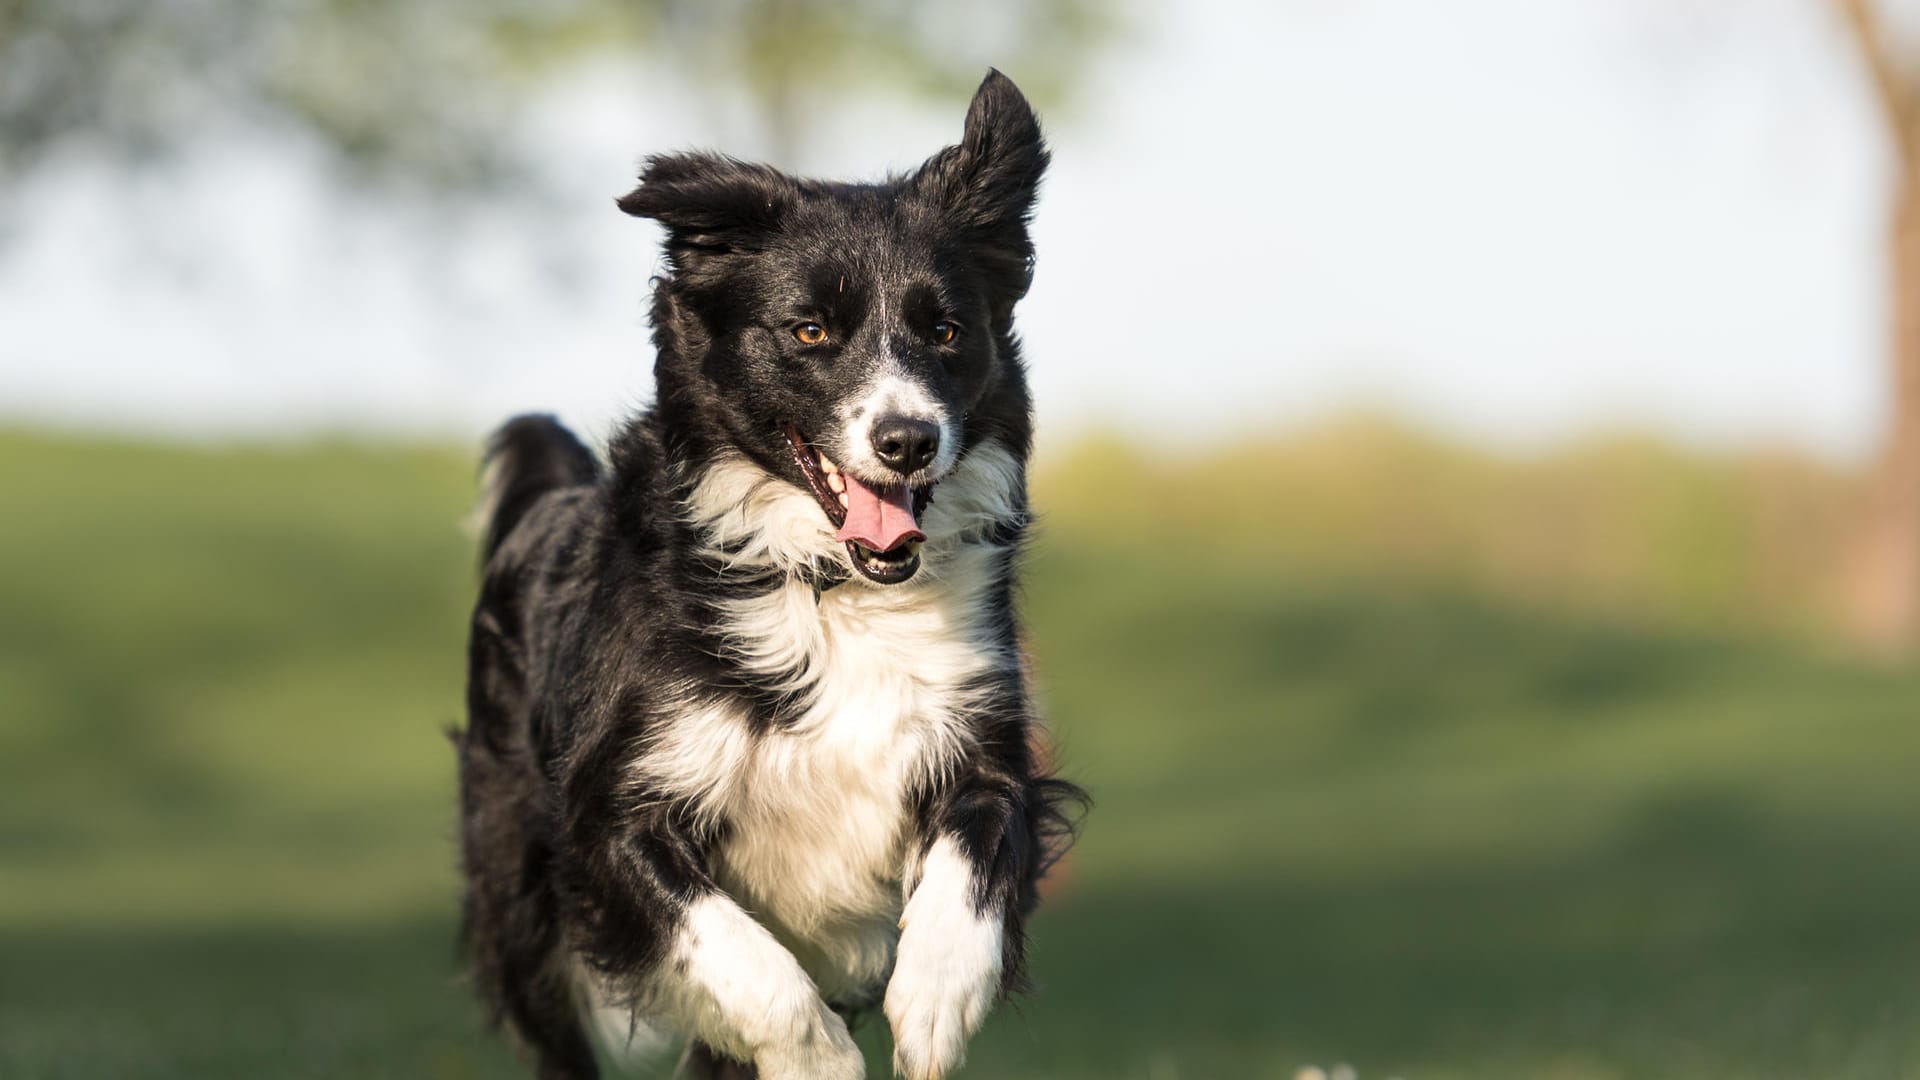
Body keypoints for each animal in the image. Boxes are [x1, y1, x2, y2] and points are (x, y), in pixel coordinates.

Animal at [449, 69, 1082, 1076]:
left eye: (947, 330)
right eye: (811, 330)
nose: (909, 439)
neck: (835, 588)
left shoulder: (981, 739)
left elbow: (978, 858)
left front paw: (936, 999)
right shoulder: (608, 815)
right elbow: (741, 957)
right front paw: (818, 1056)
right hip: (516, 885)